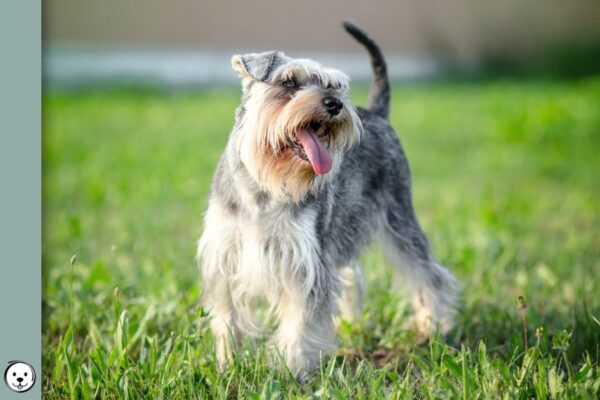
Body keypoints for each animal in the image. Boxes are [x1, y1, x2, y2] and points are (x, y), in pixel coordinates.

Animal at [198, 21, 460, 372]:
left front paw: (289, 368)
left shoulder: (305, 262)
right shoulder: (225, 258)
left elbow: (299, 322)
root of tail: (378, 113)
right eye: (288, 82)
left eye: (333, 85)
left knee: (427, 273)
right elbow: (228, 318)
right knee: (353, 276)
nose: (335, 104)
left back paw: (433, 326)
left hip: (399, 218)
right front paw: (228, 363)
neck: (264, 187)